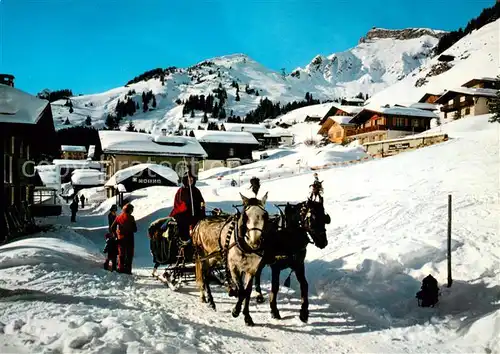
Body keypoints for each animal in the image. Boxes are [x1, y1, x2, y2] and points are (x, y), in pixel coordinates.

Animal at [191, 194, 270, 326]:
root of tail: (199, 223)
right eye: (245, 216)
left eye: (265, 215)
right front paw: (235, 311)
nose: (255, 242)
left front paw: (247, 317)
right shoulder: (233, 267)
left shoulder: (251, 269)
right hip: (202, 256)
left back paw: (210, 300)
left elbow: (247, 292)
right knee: (202, 275)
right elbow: (242, 291)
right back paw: (210, 300)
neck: (246, 246)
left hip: (214, 258)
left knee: (206, 274)